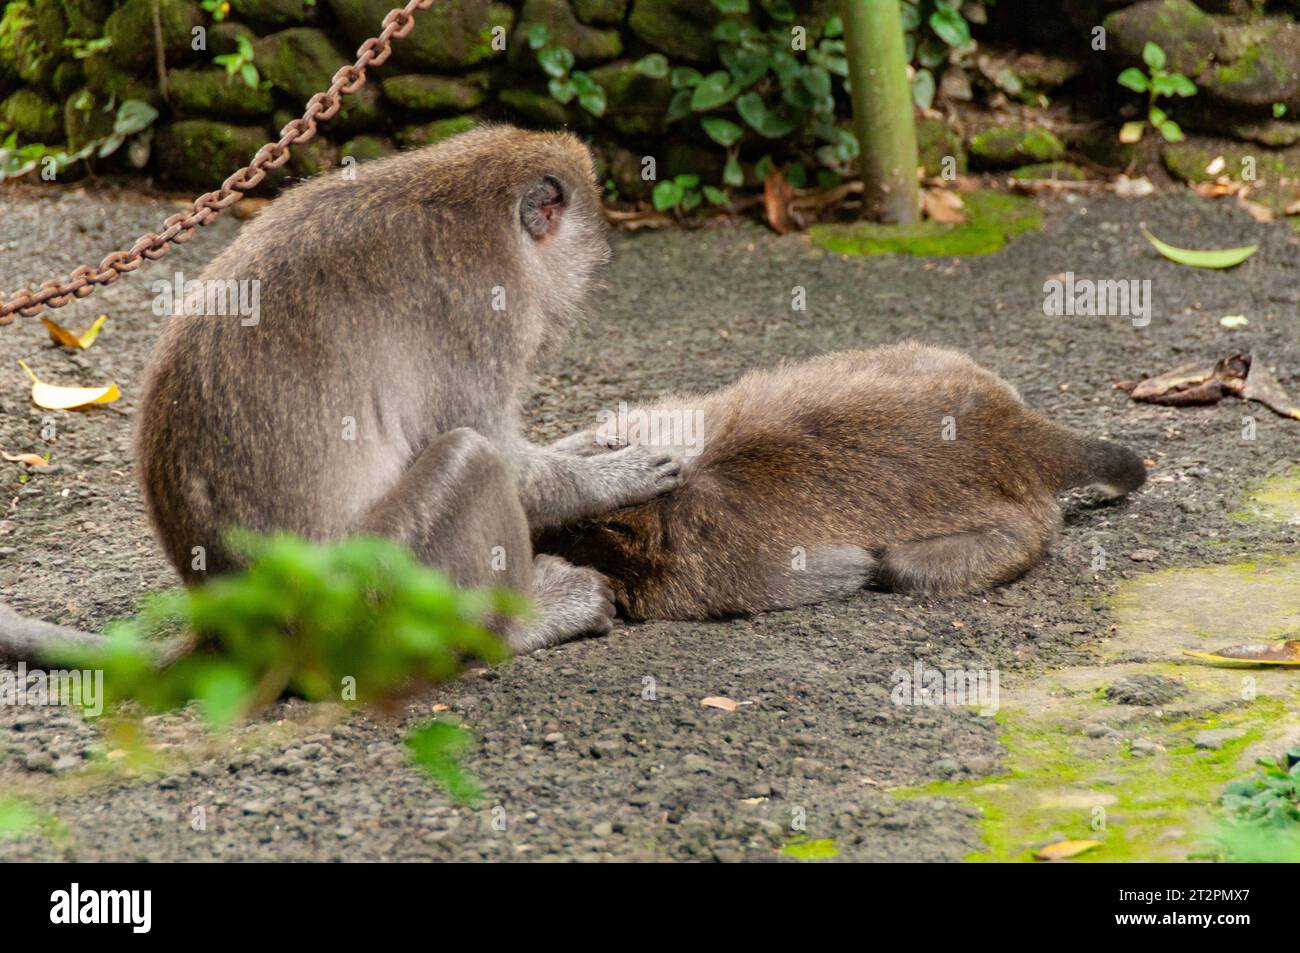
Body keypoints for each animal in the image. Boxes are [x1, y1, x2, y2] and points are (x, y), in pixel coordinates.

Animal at [128, 124, 682, 654]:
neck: (483, 208)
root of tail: (234, 620)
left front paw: (590, 444)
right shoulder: (483, 312)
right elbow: (503, 456)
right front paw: (615, 478)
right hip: (372, 589)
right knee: (472, 456)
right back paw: (520, 628)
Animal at [535, 342, 1146, 621]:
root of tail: (1017, 432)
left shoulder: (696, 570)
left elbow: (851, 569)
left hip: (1022, 523)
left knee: (902, 567)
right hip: (946, 364)